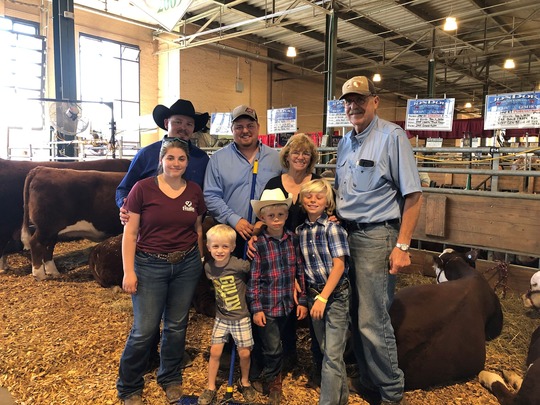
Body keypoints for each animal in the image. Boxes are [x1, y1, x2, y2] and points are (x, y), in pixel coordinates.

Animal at [0, 156, 130, 270]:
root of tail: (40, 169)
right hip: (43, 225)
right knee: (35, 243)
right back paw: (38, 274)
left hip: (51, 228)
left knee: (47, 246)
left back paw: (53, 272)